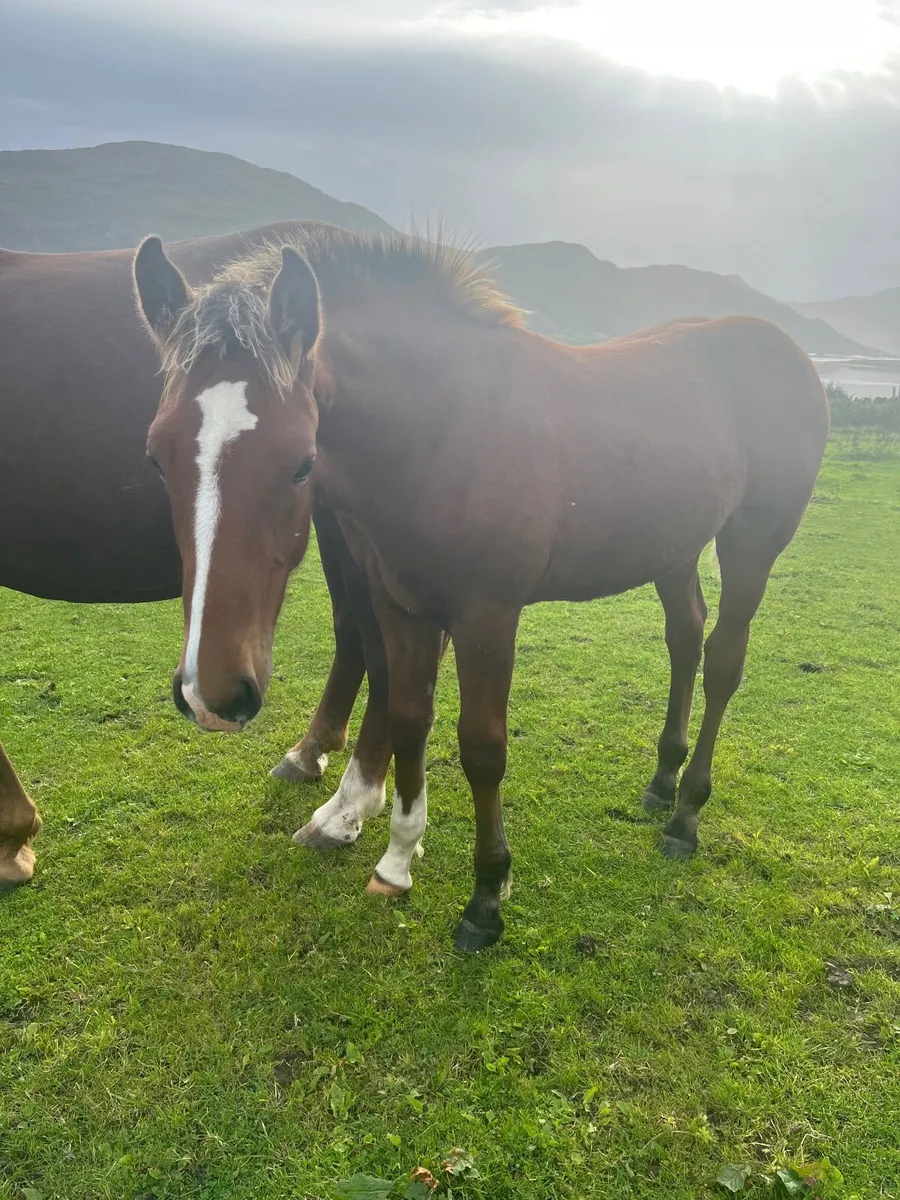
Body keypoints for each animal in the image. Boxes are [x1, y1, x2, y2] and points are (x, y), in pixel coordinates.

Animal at [0, 221, 391, 888]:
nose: (211, 696)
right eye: (155, 460)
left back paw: (344, 800)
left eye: (303, 464)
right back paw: (313, 755)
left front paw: (12, 838)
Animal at [132, 227, 830, 951]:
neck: (444, 434)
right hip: (675, 546)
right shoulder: (402, 608)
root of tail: (784, 349)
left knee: (722, 662)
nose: (212, 695)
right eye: (157, 457)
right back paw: (662, 781)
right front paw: (396, 861)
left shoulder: (487, 618)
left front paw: (487, 897)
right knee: (685, 637)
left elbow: (482, 749)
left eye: (302, 464)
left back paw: (685, 815)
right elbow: (409, 718)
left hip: (750, 546)